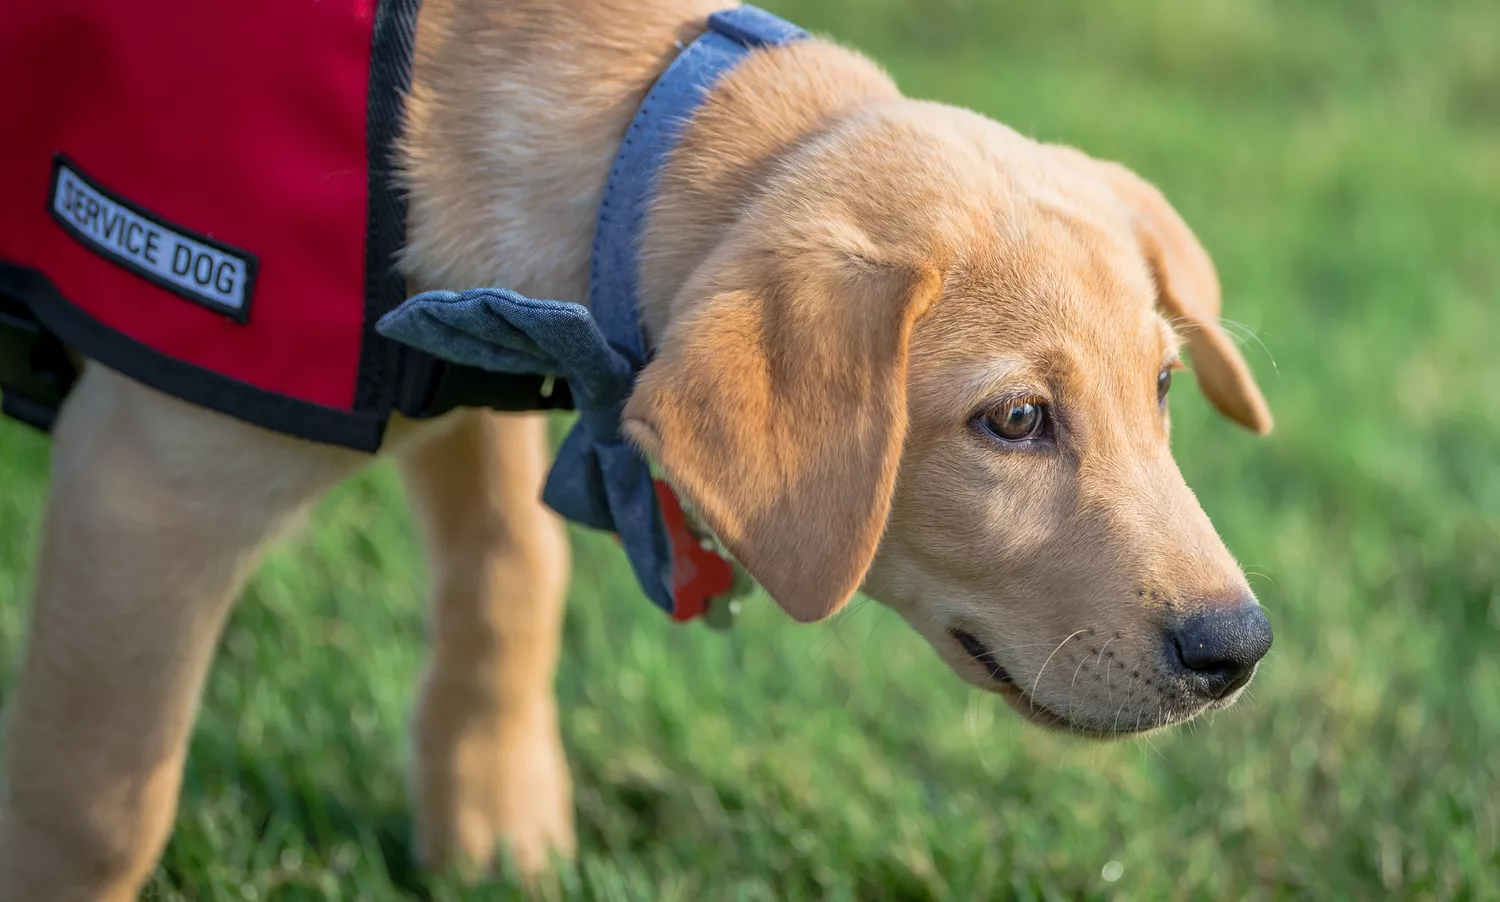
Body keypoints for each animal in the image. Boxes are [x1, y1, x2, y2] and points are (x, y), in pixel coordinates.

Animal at [0, 0, 1266, 894]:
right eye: (1013, 420)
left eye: (1161, 385)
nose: (1240, 646)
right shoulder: (147, 483)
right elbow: (99, 804)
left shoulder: (481, 356)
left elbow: (512, 574)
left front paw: (493, 821)